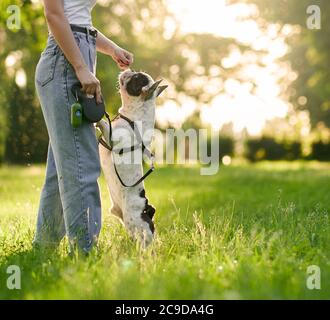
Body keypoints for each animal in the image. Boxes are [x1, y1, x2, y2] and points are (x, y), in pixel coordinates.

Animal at [96, 70, 166, 248]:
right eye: (135, 73)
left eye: (136, 78)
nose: (128, 70)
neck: (132, 116)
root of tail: (146, 210)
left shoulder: (112, 139)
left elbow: (104, 124)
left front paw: (98, 119)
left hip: (135, 224)